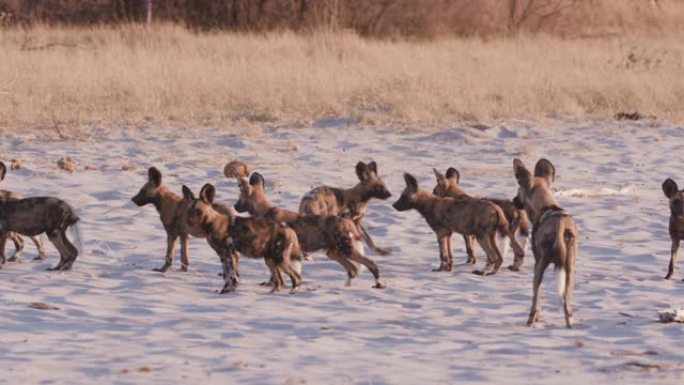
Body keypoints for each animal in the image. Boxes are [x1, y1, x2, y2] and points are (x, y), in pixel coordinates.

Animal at [235, 172, 384, 286]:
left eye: (239, 198)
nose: (235, 206)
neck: (264, 211)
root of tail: (347, 221)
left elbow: (275, 274)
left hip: (346, 249)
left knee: (371, 264)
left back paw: (377, 284)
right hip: (334, 252)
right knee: (353, 269)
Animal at [512, 156, 576, 328]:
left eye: (518, 189)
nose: (513, 200)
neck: (547, 205)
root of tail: (560, 224)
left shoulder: (537, 263)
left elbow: (538, 299)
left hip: (539, 268)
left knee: (535, 301)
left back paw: (529, 321)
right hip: (569, 271)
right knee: (567, 306)